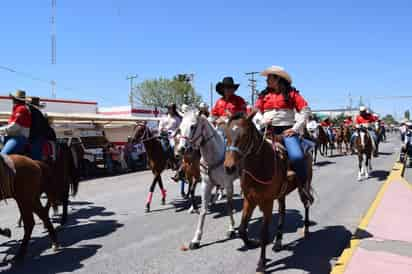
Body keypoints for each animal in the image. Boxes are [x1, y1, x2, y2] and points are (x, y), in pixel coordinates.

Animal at [177, 109, 238, 248]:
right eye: (180, 127)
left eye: (193, 126)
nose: (181, 149)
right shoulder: (206, 184)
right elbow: (203, 210)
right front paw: (196, 239)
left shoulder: (228, 184)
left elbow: (229, 206)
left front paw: (231, 229)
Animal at [224, 112, 314, 272]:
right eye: (225, 134)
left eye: (245, 135)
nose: (229, 167)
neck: (260, 165)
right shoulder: (249, 200)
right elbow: (241, 229)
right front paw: (251, 243)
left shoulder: (267, 202)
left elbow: (264, 233)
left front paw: (261, 263)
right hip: (281, 194)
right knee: (283, 211)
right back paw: (278, 242)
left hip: (304, 185)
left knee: (306, 204)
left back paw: (306, 230)